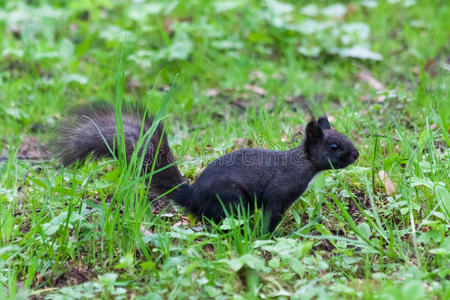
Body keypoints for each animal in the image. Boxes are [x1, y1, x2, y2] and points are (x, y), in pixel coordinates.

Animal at [55, 103, 358, 232]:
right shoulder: (277, 195)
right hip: (233, 199)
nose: (356, 154)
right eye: (334, 146)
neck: (303, 165)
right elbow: (270, 217)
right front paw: (269, 236)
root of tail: (193, 196)